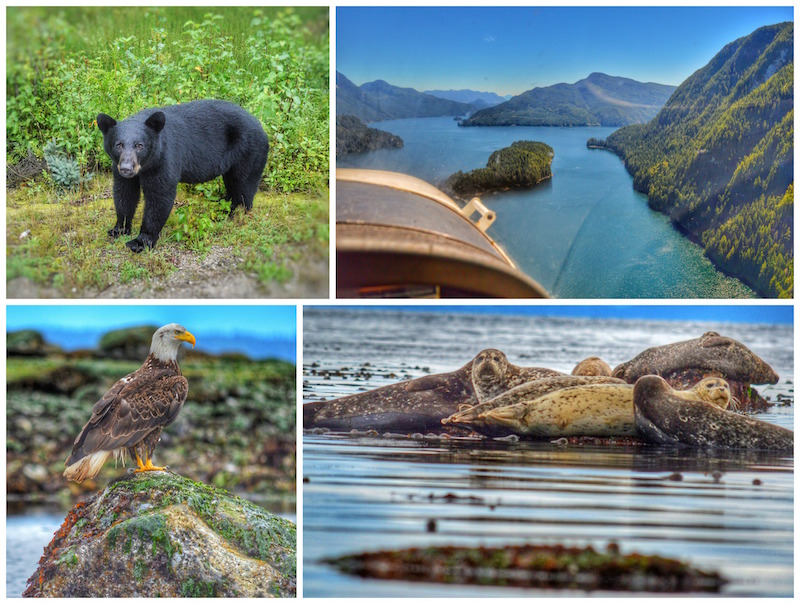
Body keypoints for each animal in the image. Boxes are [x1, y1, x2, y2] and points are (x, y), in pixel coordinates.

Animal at [97, 100, 268, 251]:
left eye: (140, 145)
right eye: (118, 145)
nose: (126, 168)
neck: (145, 166)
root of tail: (260, 126)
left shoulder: (163, 159)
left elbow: (159, 196)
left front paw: (141, 242)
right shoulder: (118, 166)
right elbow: (125, 193)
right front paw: (119, 229)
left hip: (248, 152)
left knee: (243, 185)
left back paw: (235, 213)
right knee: (233, 183)